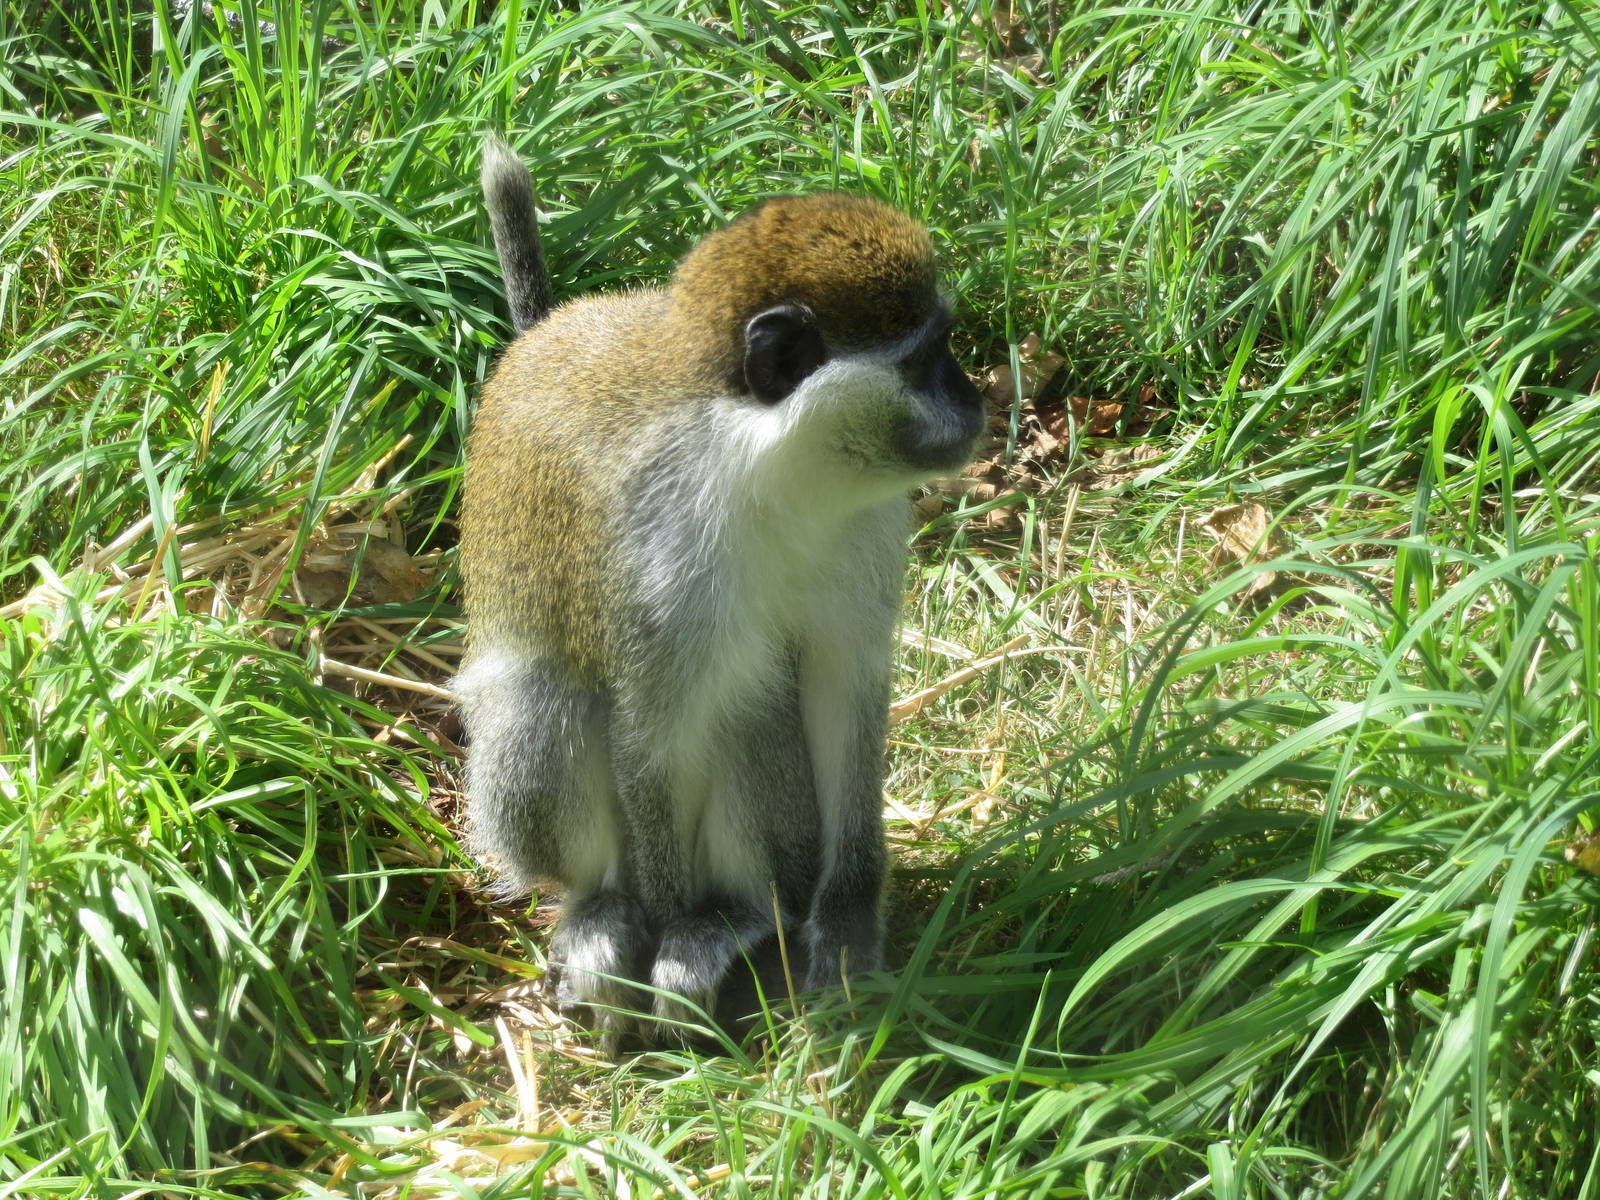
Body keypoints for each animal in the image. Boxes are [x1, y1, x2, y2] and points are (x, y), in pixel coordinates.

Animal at [456, 135, 983, 1039]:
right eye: (924, 358)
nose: (977, 399)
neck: (769, 469)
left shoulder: (871, 525)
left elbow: (843, 690)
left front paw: (847, 920)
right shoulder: (660, 552)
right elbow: (649, 735)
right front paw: (659, 933)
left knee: (750, 711)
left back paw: (737, 916)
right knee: (545, 693)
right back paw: (611, 914)